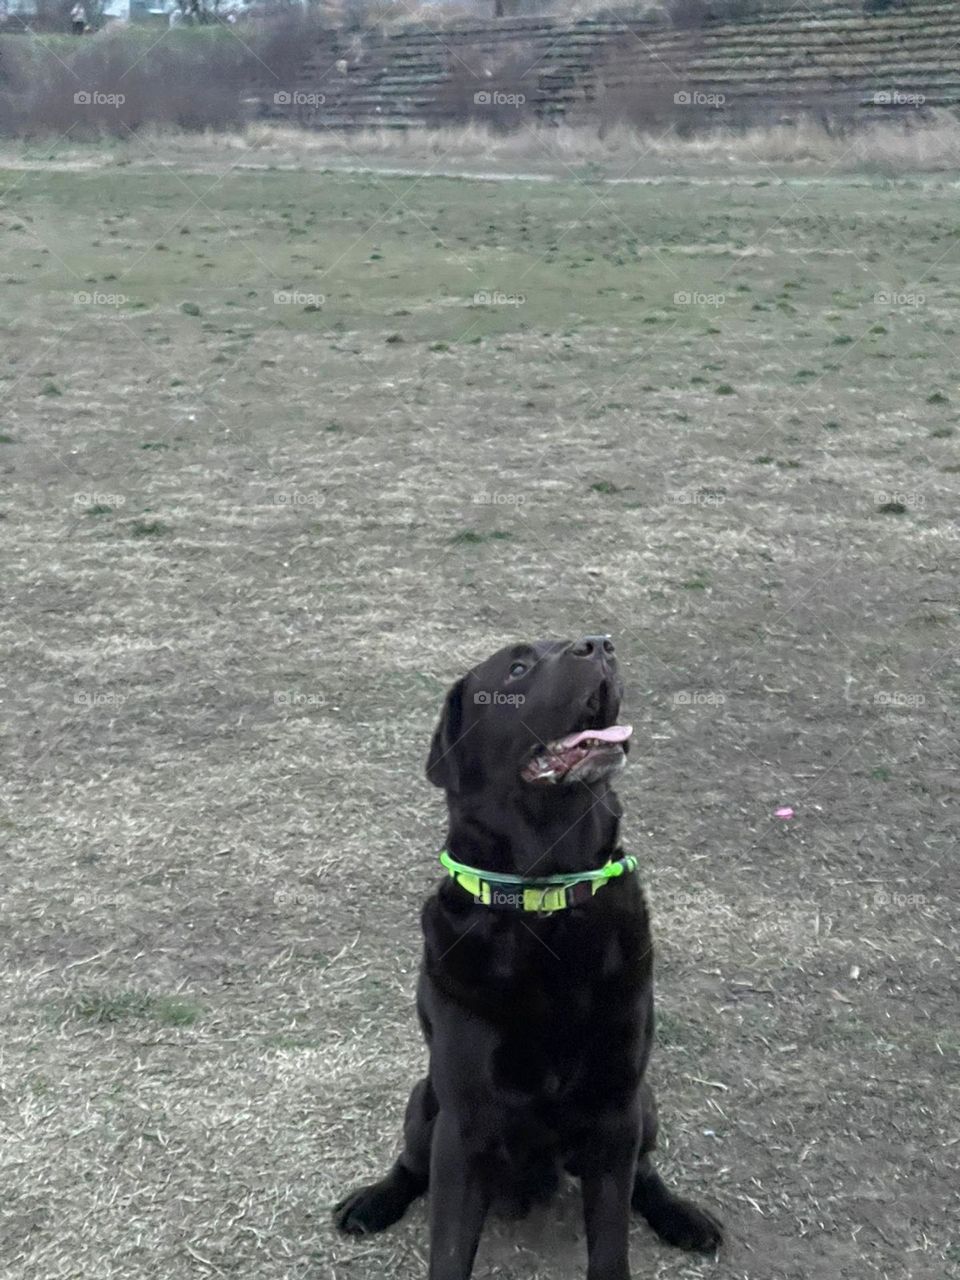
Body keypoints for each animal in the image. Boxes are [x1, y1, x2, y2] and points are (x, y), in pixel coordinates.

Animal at [335, 634, 727, 1274]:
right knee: (411, 1165)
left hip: (645, 1105)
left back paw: (683, 1217)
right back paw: (373, 1201)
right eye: (516, 669)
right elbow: (448, 1251)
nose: (601, 643)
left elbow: (612, 1240)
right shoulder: (462, 1125)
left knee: (646, 1174)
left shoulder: (616, 1110)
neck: (547, 901)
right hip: (424, 1102)